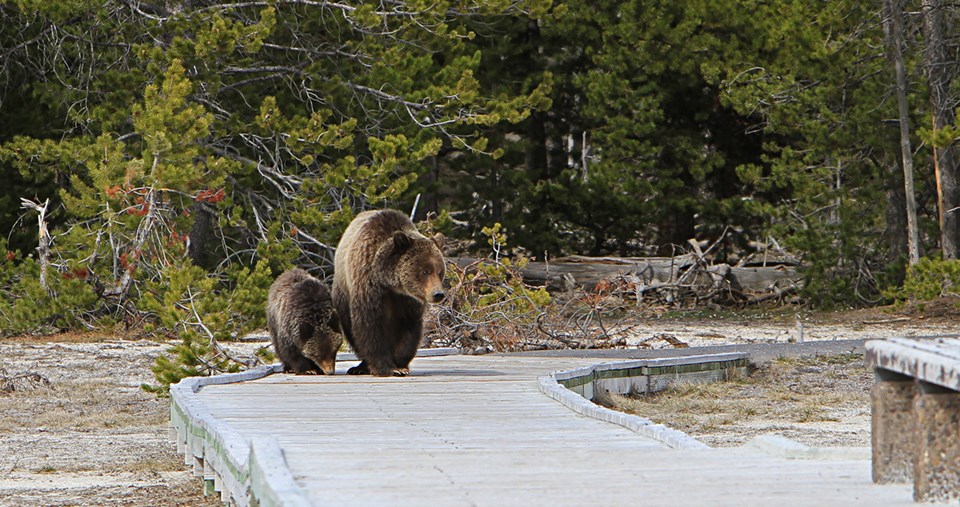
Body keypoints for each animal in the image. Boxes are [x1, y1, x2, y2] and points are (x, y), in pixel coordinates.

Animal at [334, 209, 446, 378]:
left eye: (440, 271)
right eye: (425, 271)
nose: (438, 293)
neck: (390, 284)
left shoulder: (407, 300)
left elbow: (409, 328)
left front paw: (400, 365)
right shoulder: (368, 286)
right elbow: (369, 325)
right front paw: (387, 367)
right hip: (343, 292)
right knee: (349, 325)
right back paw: (360, 366)